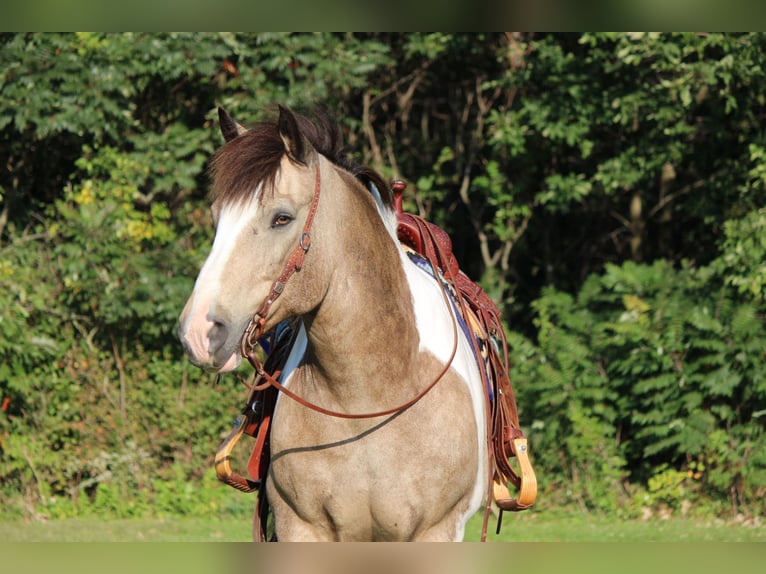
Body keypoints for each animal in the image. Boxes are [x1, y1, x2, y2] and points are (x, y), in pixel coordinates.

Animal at [177, 106, 536, 544]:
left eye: (282, 218)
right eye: (217, 217)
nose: (199, 332)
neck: (367, 396)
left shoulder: (435, 531)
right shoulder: (301, 529)